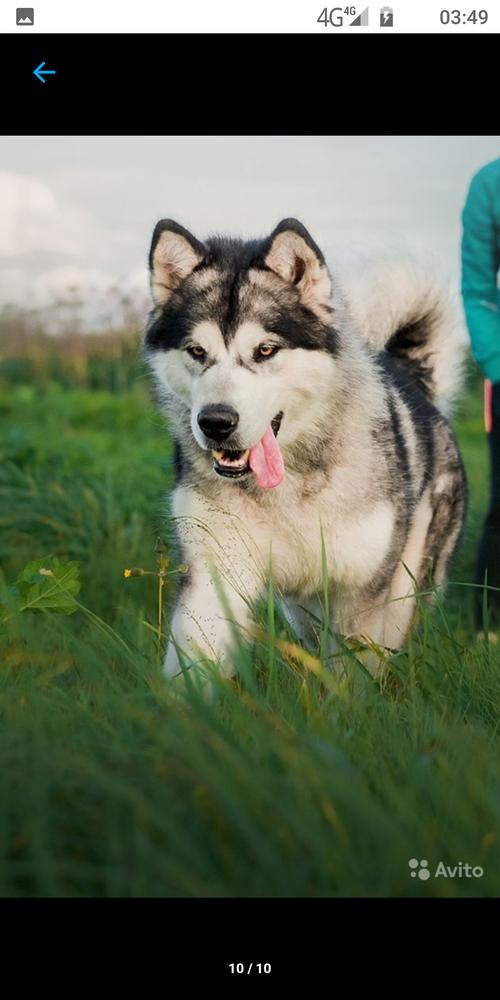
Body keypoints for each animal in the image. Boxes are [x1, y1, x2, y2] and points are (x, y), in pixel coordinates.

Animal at [143, 218, 466, 680]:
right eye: (197, 351)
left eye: (265, 350)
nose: (216, 423)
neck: (287, 488)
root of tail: (407, 374)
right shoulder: (214, 575)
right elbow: (193, 663)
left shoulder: (359, 596)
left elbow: (352, 675)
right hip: (303, 608)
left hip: (404, 590)